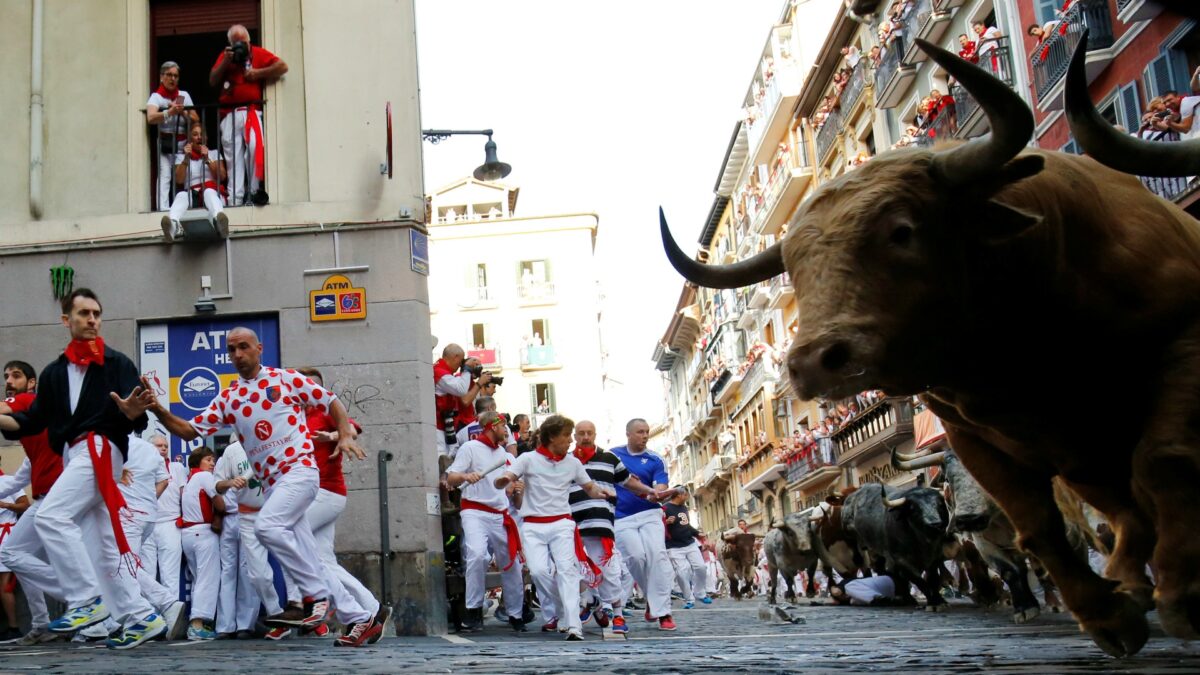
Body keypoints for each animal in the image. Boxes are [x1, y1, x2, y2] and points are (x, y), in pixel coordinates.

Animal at [662, 36, 1200, 653]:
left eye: (902, 230)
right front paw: (1098, 611)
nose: (814, 360)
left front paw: (1165, 598)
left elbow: (1158, 463)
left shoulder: (1177, 348)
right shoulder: (975, 440)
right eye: (793, 267)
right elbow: (1028, 527)